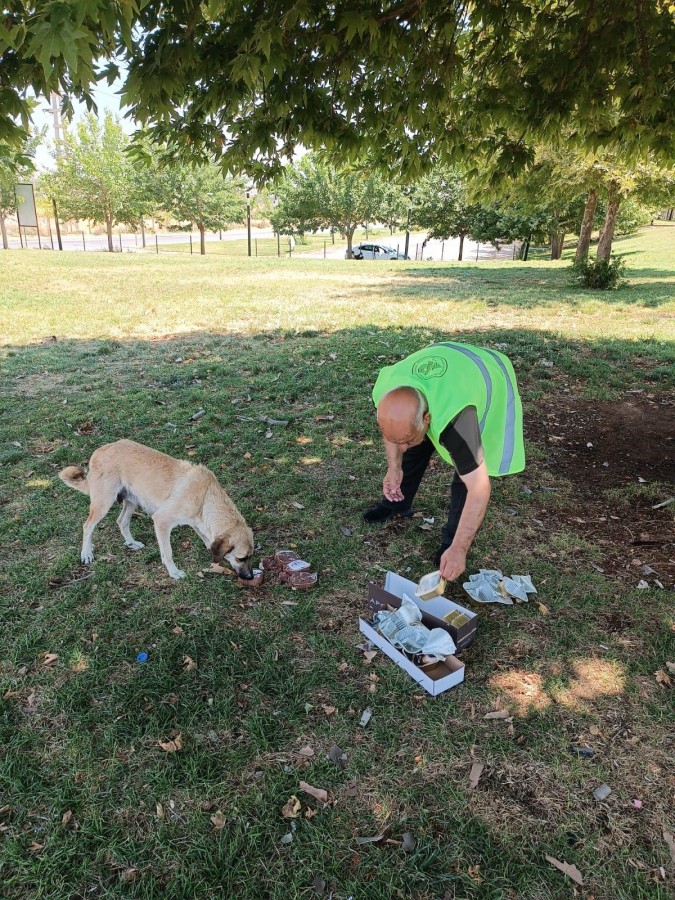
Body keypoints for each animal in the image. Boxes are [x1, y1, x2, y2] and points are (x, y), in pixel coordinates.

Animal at [59, 440, 255, 580]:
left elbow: (208, 542)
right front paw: (174, 572)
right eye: (241, 558)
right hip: (103, 503)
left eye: (250, 557)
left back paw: (131, 543)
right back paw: (86, 553)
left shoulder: (198, 524)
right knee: (88, 526)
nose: (251, 577)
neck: (205, 497)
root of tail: (98, 451)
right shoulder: (161, 521)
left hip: (132, 501)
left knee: (121, 521)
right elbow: (167, 553)